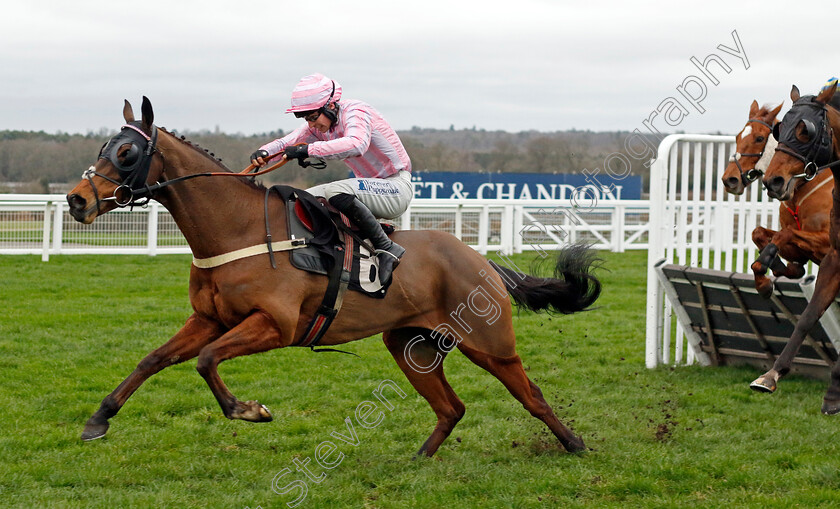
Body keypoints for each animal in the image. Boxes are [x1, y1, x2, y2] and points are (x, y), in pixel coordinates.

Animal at [67, 97, 604, 454]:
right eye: (103, 147)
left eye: (127, 153)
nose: (76, 200)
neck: (237, 230)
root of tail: (480, 260)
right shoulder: (210, 319)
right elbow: (153, 360)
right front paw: (98, 419)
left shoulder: (275, 325)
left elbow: (205, 360)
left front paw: (249, 410)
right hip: (410, 345)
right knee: (452, 407)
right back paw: (420, 458)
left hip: (489, 343)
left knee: (531, 395)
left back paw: (575, 444)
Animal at [720, 97, 832, 296]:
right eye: (737, 137)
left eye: (759, 138)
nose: (729, 180)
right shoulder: (799, 249)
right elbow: (759, 232)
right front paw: (774, 269)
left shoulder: (827, 243)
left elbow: (785, 233)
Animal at [752, 80, 840, 412]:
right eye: (780, 129)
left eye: (806, 130)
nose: (773, 181)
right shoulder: (834, 258)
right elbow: (807, 317)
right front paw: (772, 374)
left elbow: (783, 237)